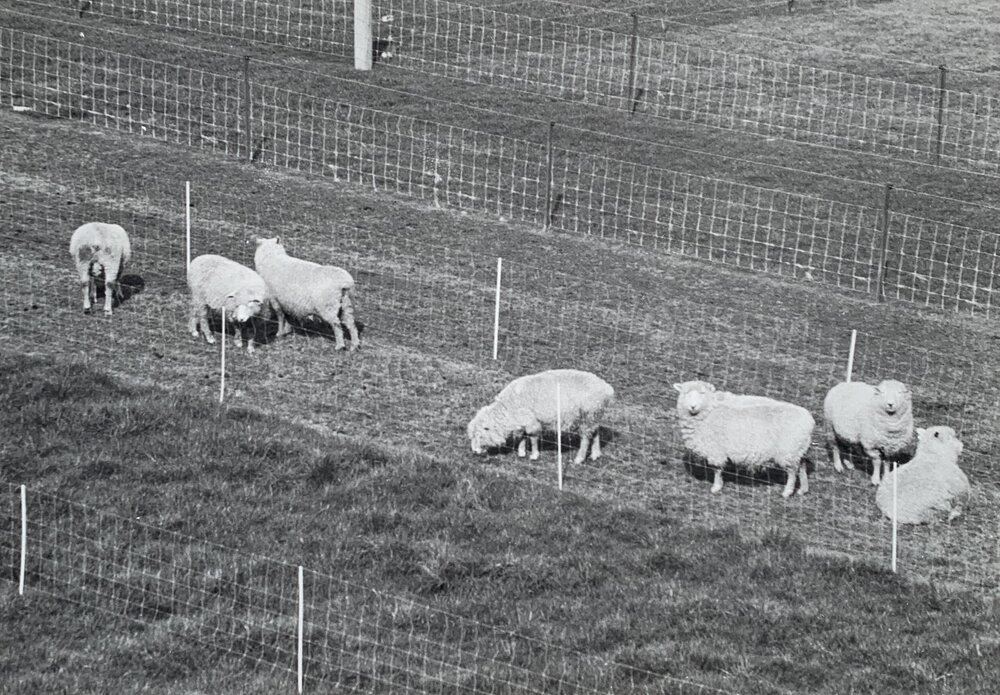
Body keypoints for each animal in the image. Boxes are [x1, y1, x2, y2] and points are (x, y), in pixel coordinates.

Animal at [468, 369, 614, 465]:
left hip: (588, 415)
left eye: (479, 436)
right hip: (594, 416)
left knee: (585, 439)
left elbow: (532, 438)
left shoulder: (531, 421)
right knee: (595, 433)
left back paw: (579, 459)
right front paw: (521, 452)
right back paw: (595, 455)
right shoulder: (523, 421)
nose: (474, 452)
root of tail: (607, 388)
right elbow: (522, 437)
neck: (507, 408)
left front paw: (534, 455)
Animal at [673, 381, 814, 498]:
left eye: (702, 393)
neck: (710, 412)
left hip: (788, 450)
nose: (693, 407)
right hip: (798, 449)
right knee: (802, 466)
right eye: (685, 393)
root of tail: (809, 420)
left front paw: (716, 487)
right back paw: (803, 489)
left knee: (792, 471)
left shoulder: (716, 450)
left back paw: (787, 492)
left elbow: (717, 469)